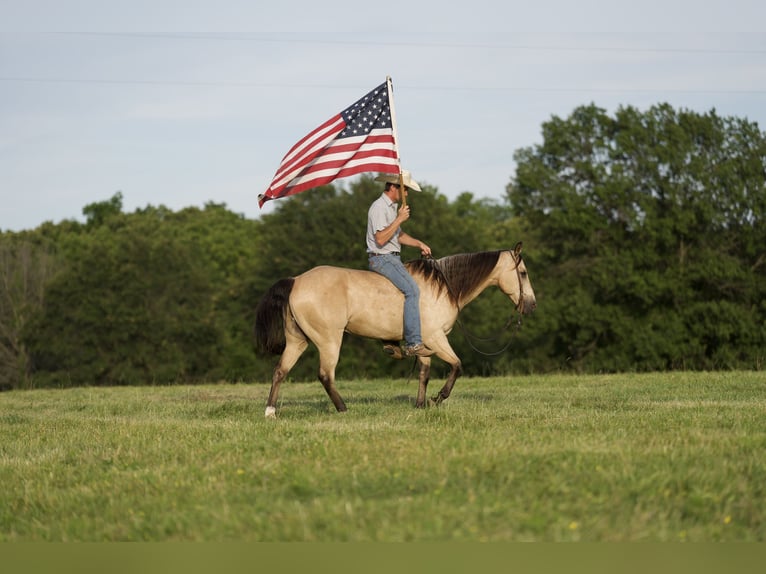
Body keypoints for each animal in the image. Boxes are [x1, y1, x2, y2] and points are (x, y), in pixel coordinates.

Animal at [255, 243, 536, 418]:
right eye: (522, 272)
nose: (531, 305)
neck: (444, 286)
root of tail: (296, 281)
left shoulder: (425, 345)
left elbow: (424, 373)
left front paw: (420, 405)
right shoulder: (436, 338)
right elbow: (457, 365)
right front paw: (437, 399)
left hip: (298, 341)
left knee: (280, 371)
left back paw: (270, 411)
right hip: (329, 340)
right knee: (325, 375)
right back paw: (343, 408)